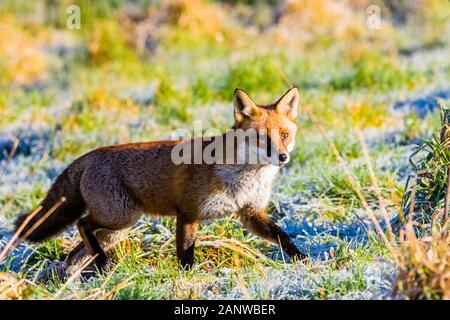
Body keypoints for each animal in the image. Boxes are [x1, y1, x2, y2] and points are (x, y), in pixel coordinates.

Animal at [15, 87, 308, 270]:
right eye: (261, 138)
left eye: (284, 135)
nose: (283, 157)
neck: (245, 176)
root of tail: (88, 155)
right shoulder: (188, 212)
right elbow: (186, 254)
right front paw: (188, 279)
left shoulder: (250, 213)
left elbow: (282, 235)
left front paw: (302, 259)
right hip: (121, 217)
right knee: (82, 223)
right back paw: (99, 264)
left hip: (116, 230)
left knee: (74, 254)